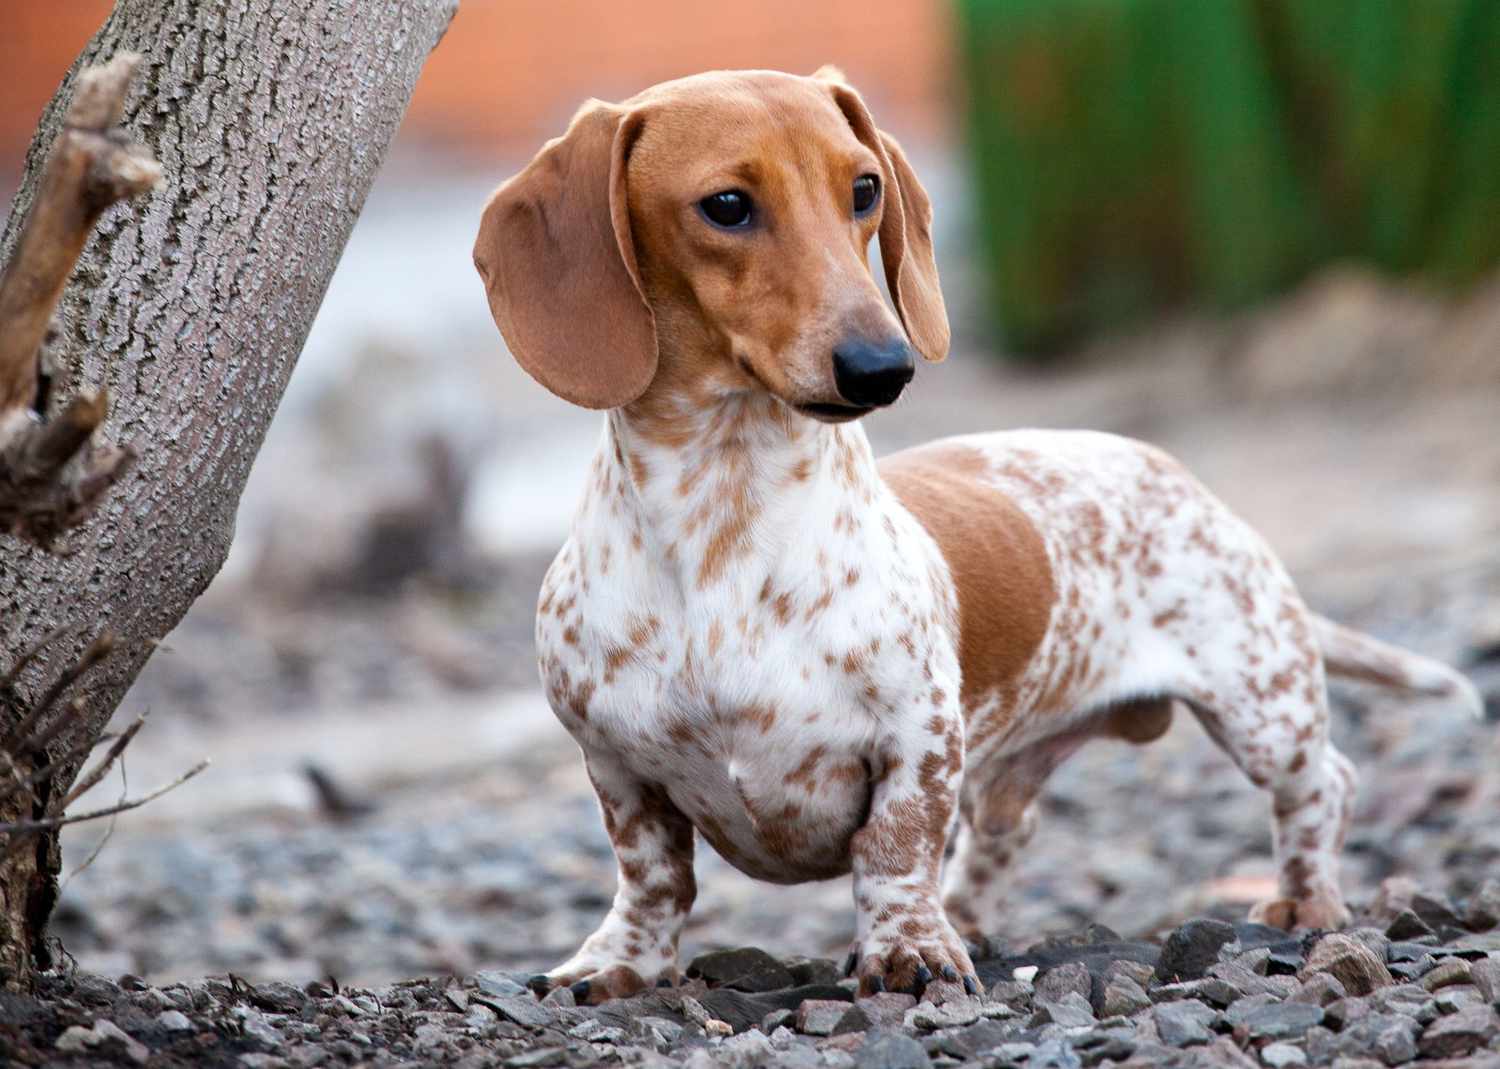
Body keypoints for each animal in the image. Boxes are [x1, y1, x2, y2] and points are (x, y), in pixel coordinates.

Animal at [474, 66, 1482, 1001]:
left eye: (864, 188)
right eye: (726, 205)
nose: (884, 365)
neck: (722, 522)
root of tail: (1174, 471)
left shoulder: (916, 737)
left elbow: (894, 849)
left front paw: (910, 950)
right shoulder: (614, 763)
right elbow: (650, 876)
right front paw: (618, 961)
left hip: (1262, 702)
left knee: (1324, 783)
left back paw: (1305, 899)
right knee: (1010, 825)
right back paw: (973, 914)